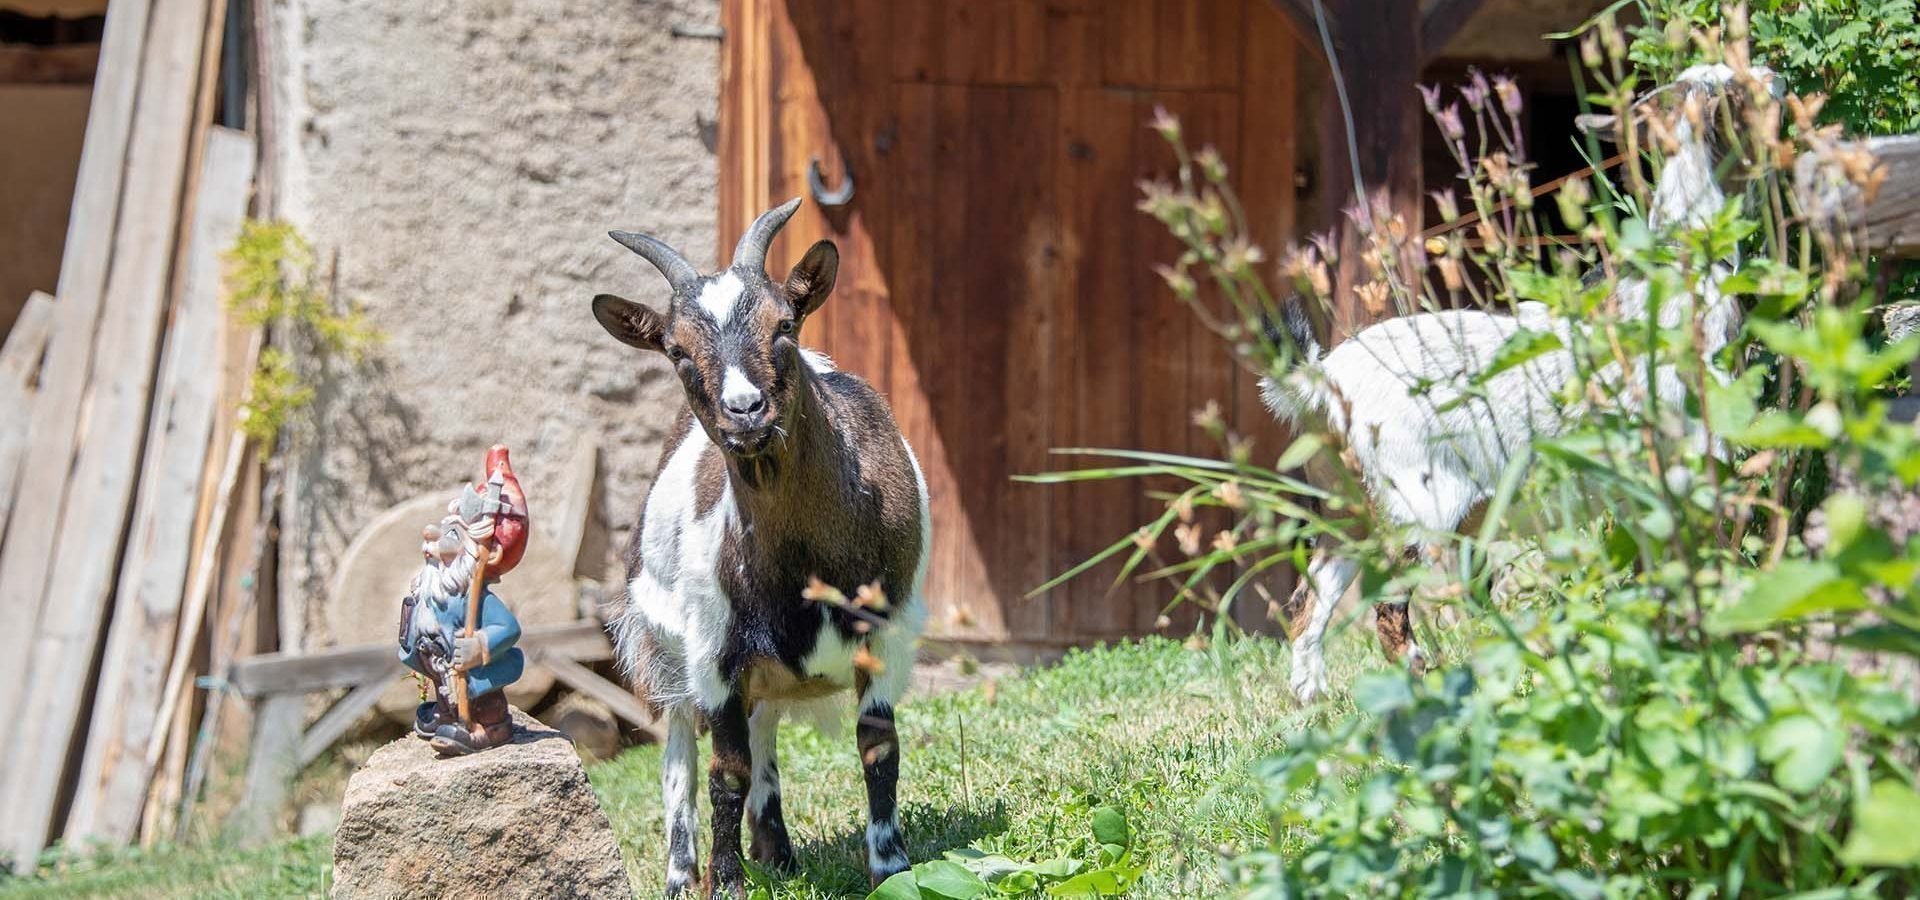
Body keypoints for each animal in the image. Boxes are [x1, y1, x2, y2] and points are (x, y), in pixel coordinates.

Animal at [595, 199, 933, 894]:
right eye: (676, 349)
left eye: (784, 324)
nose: (744, 411)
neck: (807, 561)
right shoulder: (715, 651)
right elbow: (725, 770)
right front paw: (725, 882)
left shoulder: (887, 630)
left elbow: (878, 746)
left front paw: (891, 865)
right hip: (660, 644)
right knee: (680, 752)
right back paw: (682, 873)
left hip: (766, 671)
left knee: (764, 728)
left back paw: (776, 849)